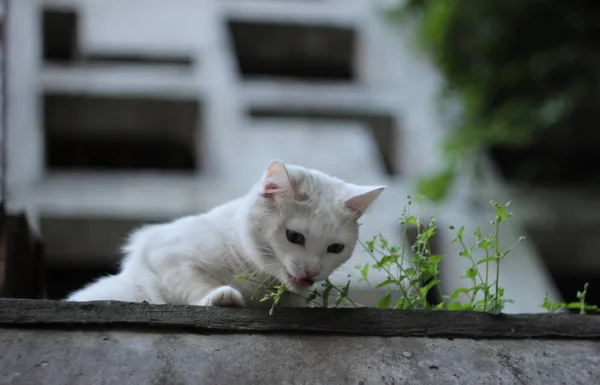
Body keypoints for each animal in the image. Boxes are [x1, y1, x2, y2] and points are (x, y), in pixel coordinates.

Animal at [67, 160, 384, 308]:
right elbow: (193, 282)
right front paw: (220, 296)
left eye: (335, 248)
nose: (312, 272)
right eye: (294, 237)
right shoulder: (165, 254)